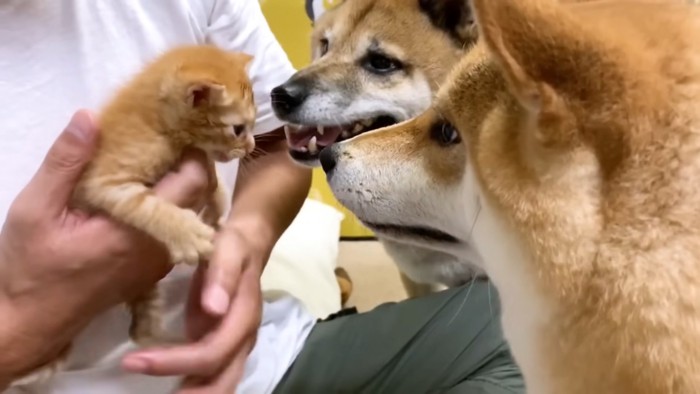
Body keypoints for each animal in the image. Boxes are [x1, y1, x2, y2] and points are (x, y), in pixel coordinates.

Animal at [11, 44, 258, 386]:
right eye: (238, 129)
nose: (251, 146)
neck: (157, 122)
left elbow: (213, 179)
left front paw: (218, 202)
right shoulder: (107, 183)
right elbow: (150, 206)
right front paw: (189, 233)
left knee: (141, 332)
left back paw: (177, 347)